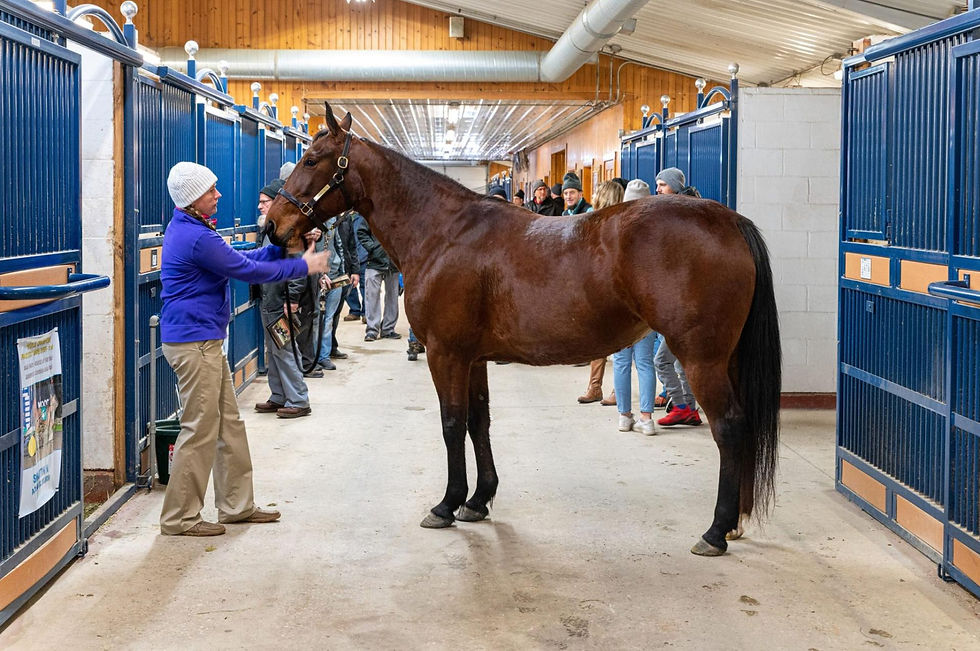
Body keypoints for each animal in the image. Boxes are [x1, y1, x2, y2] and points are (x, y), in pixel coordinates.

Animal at [265, 103, 781, 556]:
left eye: (312, 159)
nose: (272, 227)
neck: (443, 232)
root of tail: (729, 219)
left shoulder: (446, 354)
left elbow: (451, 425)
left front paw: (447, 504)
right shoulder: (472, 357)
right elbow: (479, 423)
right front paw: (478, 500)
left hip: (701, 359)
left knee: (730, 428)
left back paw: (715, 531)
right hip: (728, 359)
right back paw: (734, 523)